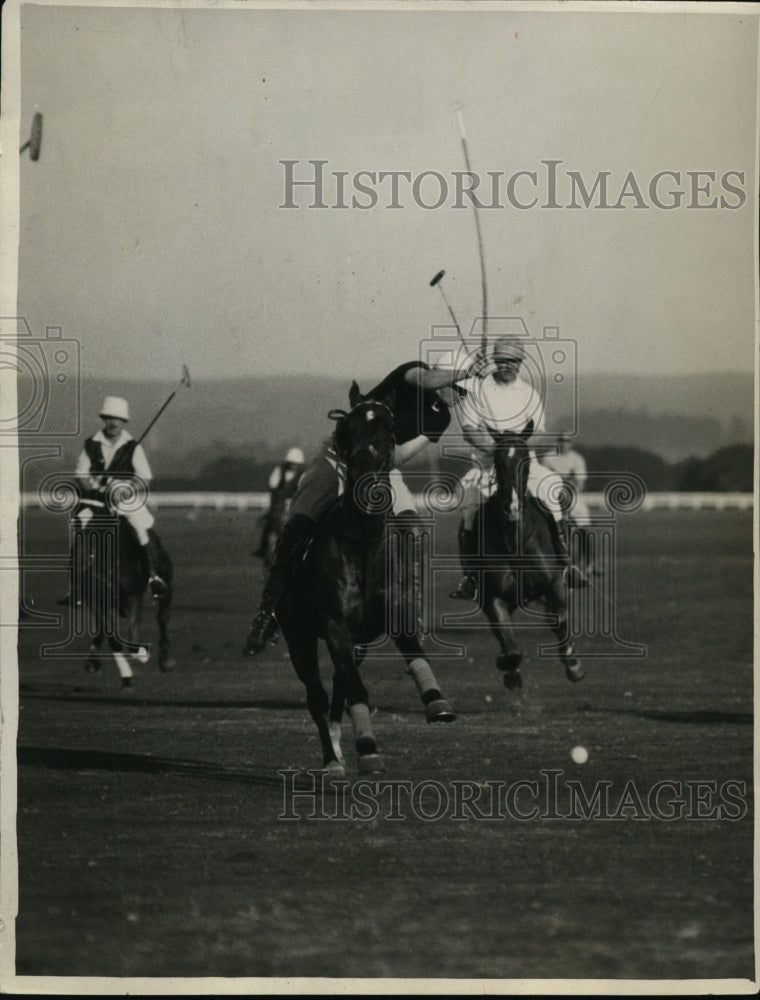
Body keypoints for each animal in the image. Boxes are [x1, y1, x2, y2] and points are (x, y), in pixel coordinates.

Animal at [71, 500, 175, 688]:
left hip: (165, 582)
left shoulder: (134, 596)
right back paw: (92, 660)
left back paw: (166, 660)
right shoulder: (95, 600)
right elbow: (110, 636)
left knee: (162, 617)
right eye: (74, 521)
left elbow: (132, 636)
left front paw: (141, 654)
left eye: (97, 522)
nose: (81, 558)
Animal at [276, 382, 454, 772]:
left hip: (357, 645)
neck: (365, 541)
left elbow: (415, 655)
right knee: (318, 696)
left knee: (338, 688)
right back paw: (332, 760)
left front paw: (437, 702)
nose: (363, 473)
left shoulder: (396, 615)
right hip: (299, 637)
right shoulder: (334, 627)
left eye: (389, 429)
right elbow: (355, 689)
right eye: (348, 429)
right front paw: (368, 750)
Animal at [472, 420, 584, 688]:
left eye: (525, 460)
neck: (516, 542)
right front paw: (508, 667)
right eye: (497, 460)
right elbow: (509, 644)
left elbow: (560, 620)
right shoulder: (493, 595)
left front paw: (573, 664)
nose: (512, 507)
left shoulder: (555, 581)